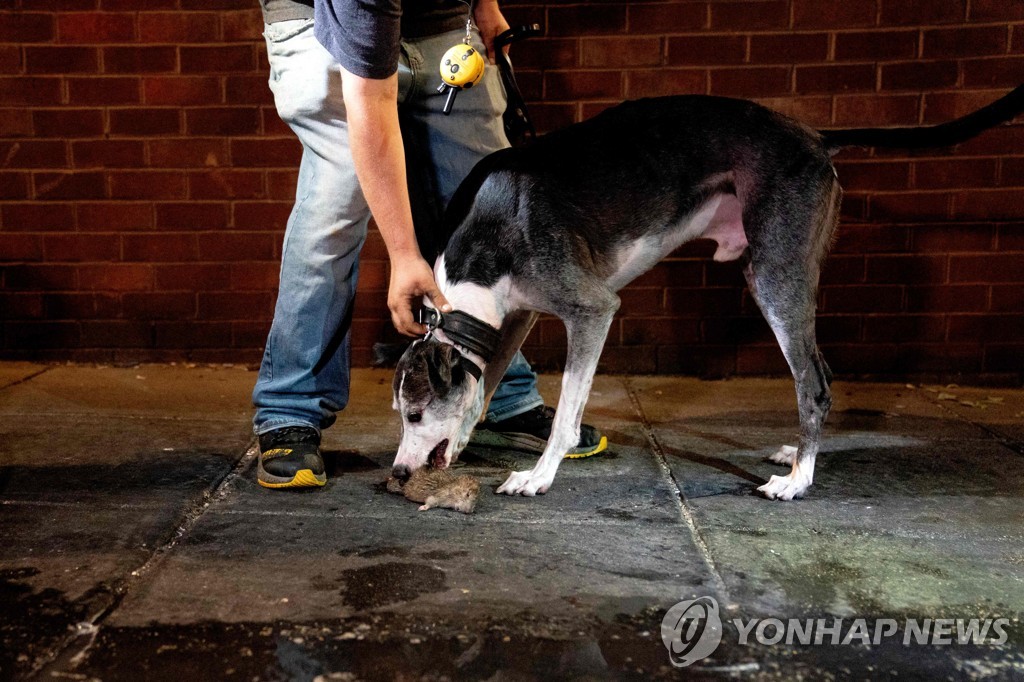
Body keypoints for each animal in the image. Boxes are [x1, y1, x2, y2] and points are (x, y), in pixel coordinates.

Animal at [389, 84, 1024, 499]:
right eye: (400, 413)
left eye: (416, 412)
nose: (397, 474)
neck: (491, 229)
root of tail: (814, 136)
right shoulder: (515, 317)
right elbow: (483, 388)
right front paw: (464, 439)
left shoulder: (592, 310)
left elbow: (567, 410)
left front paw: (539, 476)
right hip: (791, 271)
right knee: (819, 371)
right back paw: (797, 455)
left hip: (774, 276)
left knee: (813, 382)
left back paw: (797, 482)